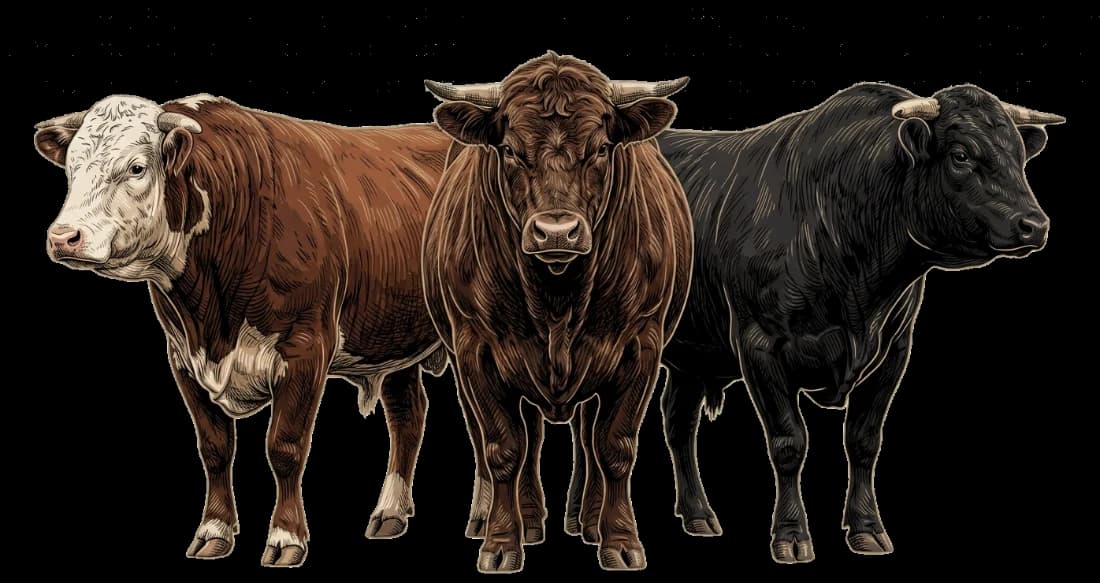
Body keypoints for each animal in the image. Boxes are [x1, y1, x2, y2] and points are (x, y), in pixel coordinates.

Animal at [36, 94, 454, 567]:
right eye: (71, 168)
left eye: (137, 168)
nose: (63, 237)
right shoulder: (183, 357)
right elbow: (215, 448)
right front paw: (214, 530)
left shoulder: (305, 348)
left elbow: (285, 447)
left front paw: (286, 537)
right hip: (394, 336)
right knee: (408, 415)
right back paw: (390, 512)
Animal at [421, 52, 694, 573]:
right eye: (509, 150)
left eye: (602, 148)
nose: (557, 232)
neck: (557, 298)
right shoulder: (476, 350)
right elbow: (504, 448)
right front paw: (501, 543)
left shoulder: (641, 346)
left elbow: (615, 446)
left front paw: (620, 541)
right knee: (524, 442)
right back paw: (524, 521)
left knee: (586, 440)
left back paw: (587, 522)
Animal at [570, 82, 1061, 563]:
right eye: (961, 154)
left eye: (1020, 155)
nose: (1034, 225)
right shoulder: (760, 346)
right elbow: (789, 443)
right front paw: (791, 535)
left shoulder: (893, 351)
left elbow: (863, 442)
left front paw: (867, 528)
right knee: (589, 428)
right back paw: (583, 521)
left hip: (691, 355)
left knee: (677, 424)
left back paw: (697, 515)